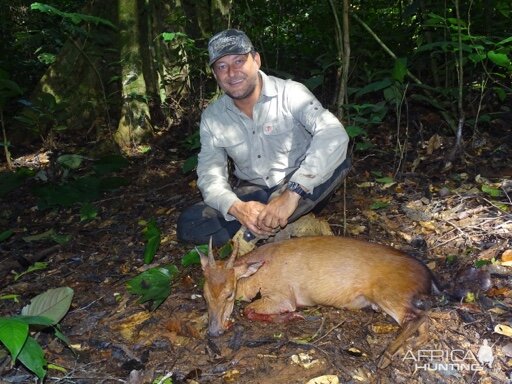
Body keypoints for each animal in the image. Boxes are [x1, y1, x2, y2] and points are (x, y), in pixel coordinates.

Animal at [199, 236, 436, 368]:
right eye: (205, 295)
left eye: (229, 294)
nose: (214, 331)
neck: (256, 275)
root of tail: (427, 275)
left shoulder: (283, 295)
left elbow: (247, 310)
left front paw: (293, 316)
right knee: (424, 322)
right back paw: (408, 347)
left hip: (387, 292)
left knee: (417, 317)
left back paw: (386, 356)